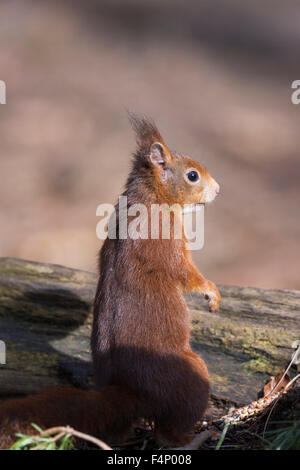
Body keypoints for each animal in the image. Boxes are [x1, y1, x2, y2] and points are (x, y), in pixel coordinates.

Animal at [0, 113, 220, 448]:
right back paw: (195, 437)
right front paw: (211, 291)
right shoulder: (164, 238)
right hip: (192, 377)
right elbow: (184, 272)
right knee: (168, 432)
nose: (218, 190)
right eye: (193, 175)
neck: (150, 198)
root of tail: (130, 389)